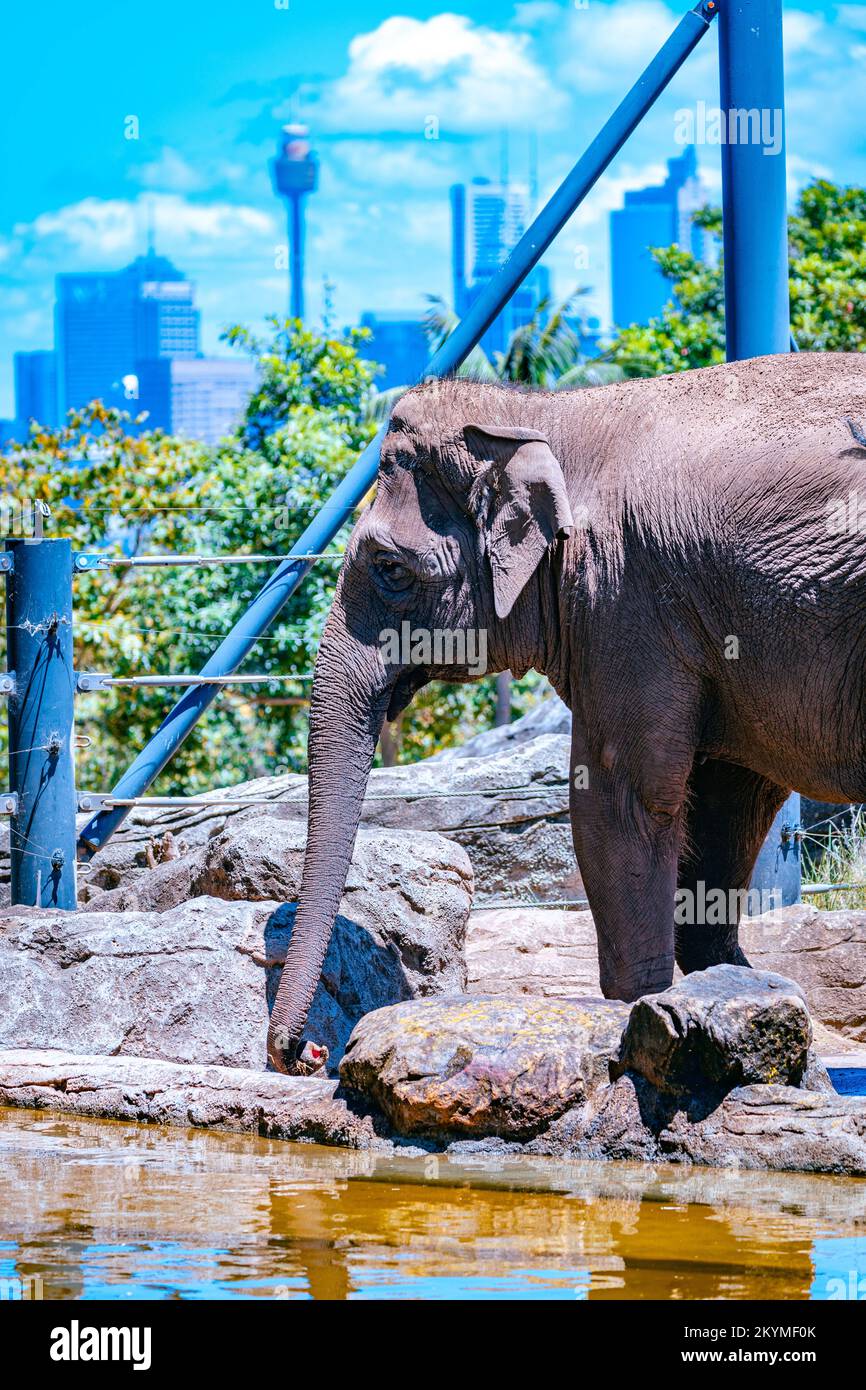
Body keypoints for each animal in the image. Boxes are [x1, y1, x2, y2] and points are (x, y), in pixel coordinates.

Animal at [265, 353, 866, 1067]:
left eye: (389, 567)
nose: (308, 1052)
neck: (546, 413)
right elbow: (727, 798)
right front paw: (732, 995)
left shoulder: (624, 595)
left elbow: (619, 797)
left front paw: (645, 1019)